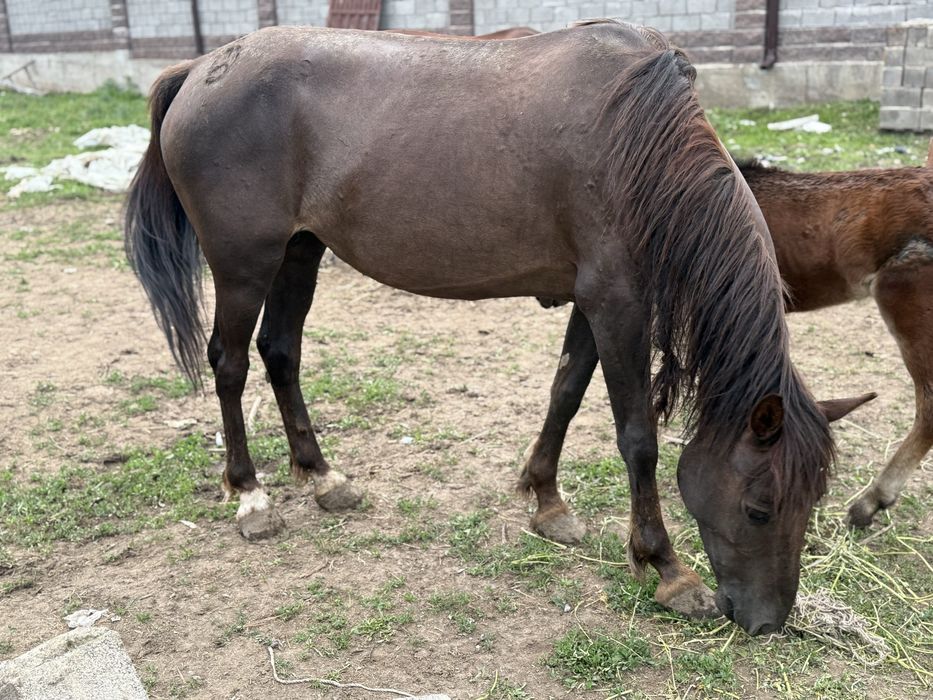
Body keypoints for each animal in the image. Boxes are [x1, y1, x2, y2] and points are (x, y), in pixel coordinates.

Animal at [124, 20, 872, 635]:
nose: (767, 621)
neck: (638, 143)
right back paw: (250, 496)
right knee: (230, 364)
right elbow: (637, 440)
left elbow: (564, 394)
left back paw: (323, 477)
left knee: (281, 353)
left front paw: (546, 501)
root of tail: (199, 68)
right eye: (758, 507)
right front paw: (665, 568)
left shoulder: (591, 302)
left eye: (814, 499)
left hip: (299, 252)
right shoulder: (618, 303)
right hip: (244, 264)